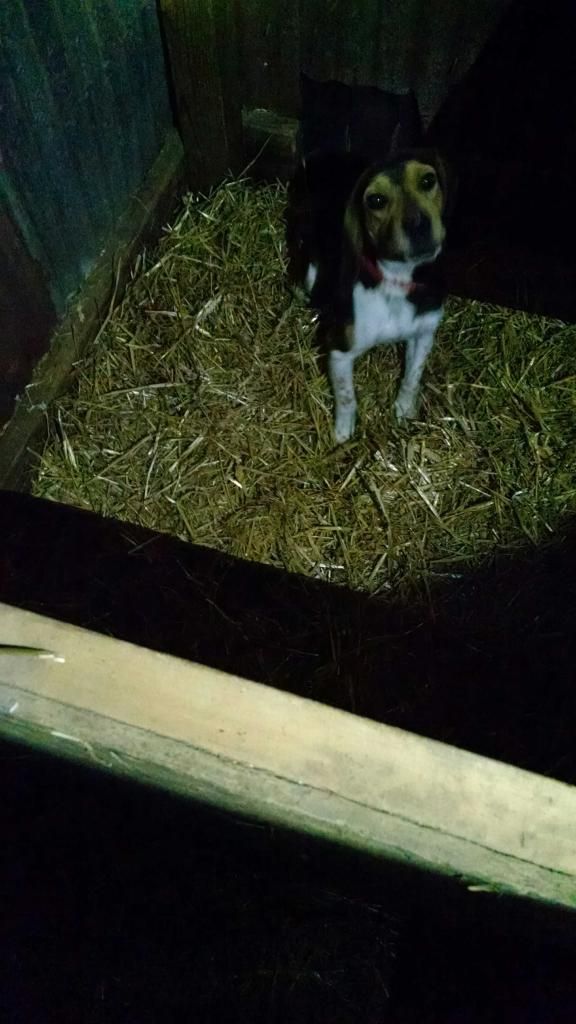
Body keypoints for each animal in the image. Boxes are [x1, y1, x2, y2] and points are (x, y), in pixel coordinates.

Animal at [287, 149, 450, 442]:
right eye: (376, 200)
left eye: (428, 180)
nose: (418, 224)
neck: (395, 280)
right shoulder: (339, 351)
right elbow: (346, 397)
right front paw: (342, 434)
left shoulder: (424, 335)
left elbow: (412, 378)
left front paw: (404, 411)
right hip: (310, 273)